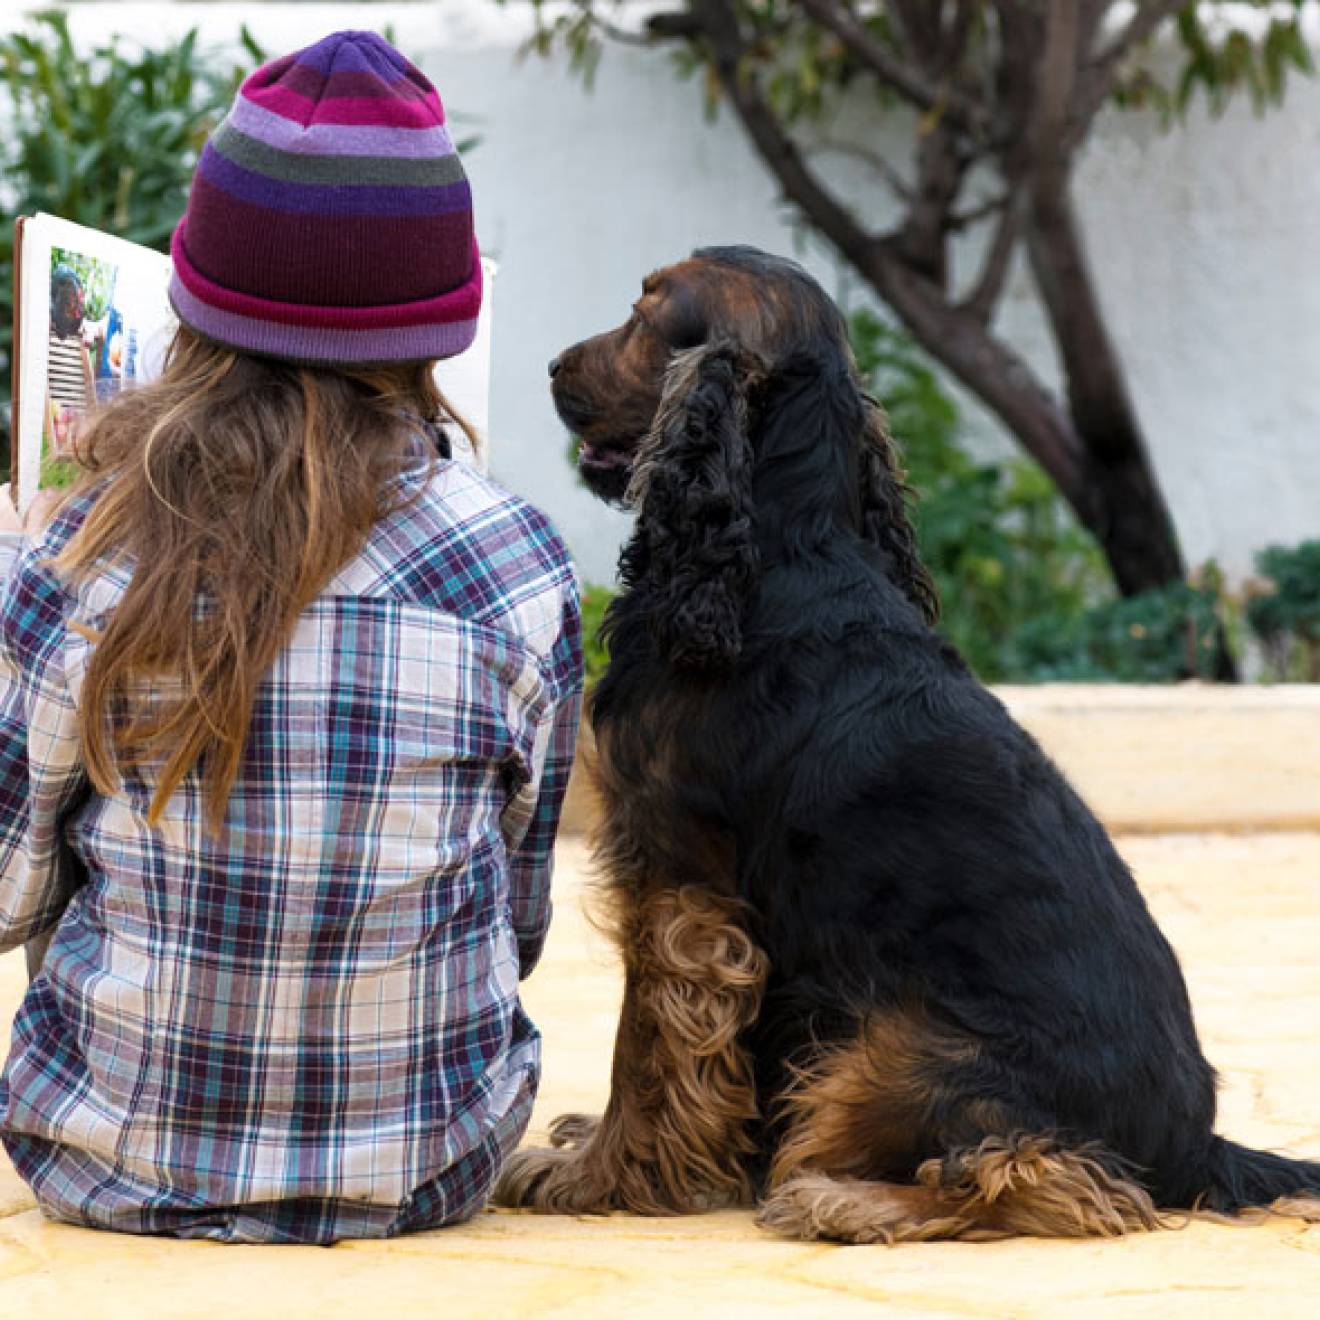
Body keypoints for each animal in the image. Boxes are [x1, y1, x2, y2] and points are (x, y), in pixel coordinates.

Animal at [496, 245, 1320, 1235]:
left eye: (646, 312)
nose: (551, 368)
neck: (778, 550)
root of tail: (1196, 1144)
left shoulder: (678, 883)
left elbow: (648, 1047)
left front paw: (596, 1178)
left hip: (897, 1044)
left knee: (1047, 1177)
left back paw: (842, 1199)